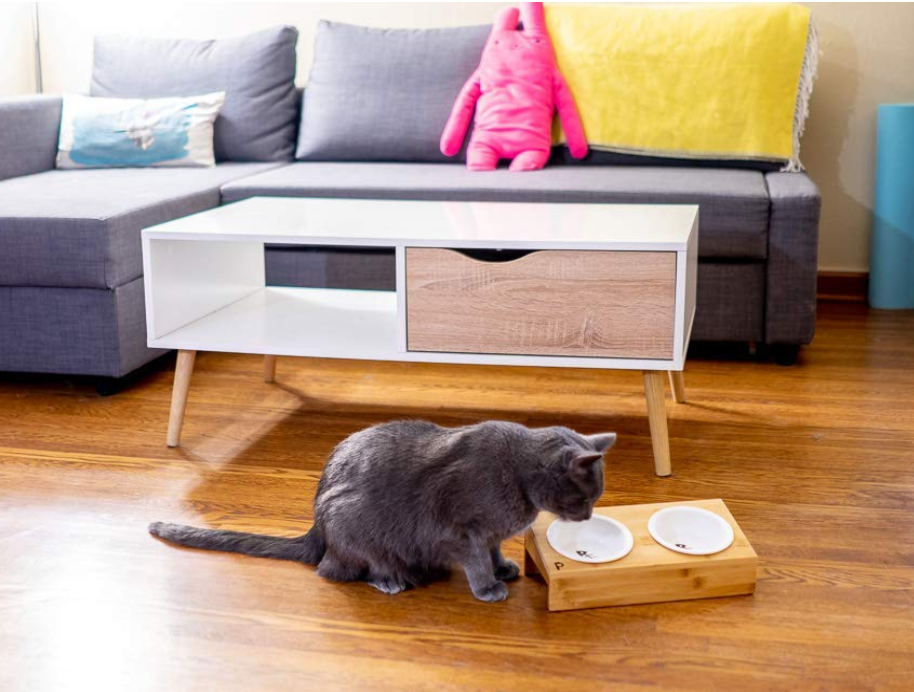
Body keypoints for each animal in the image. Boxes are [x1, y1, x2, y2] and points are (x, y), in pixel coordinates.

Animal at [150, 418, 616, 604]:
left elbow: (496, 549)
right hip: (353, 523)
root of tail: (316, 529)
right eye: (585, 499)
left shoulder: (489, 533)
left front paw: (503, 568)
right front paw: (487, 586)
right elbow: (477, 560)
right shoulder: (461, 532)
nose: (589, 517)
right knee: (338, 570)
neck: (520, 479)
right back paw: (391, 580)